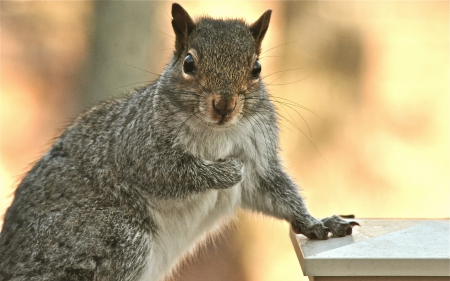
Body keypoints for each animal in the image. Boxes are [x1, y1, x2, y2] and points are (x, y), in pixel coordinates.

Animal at [0, 2, 358, 280]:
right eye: (189, 63)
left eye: (256, 68)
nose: (224, 105)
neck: (218, 131)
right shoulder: (137, 146)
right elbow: (170, 172)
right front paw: (226, 172)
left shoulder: (261, 159)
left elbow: (275, 191)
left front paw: (317, 224)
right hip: (113, 236)